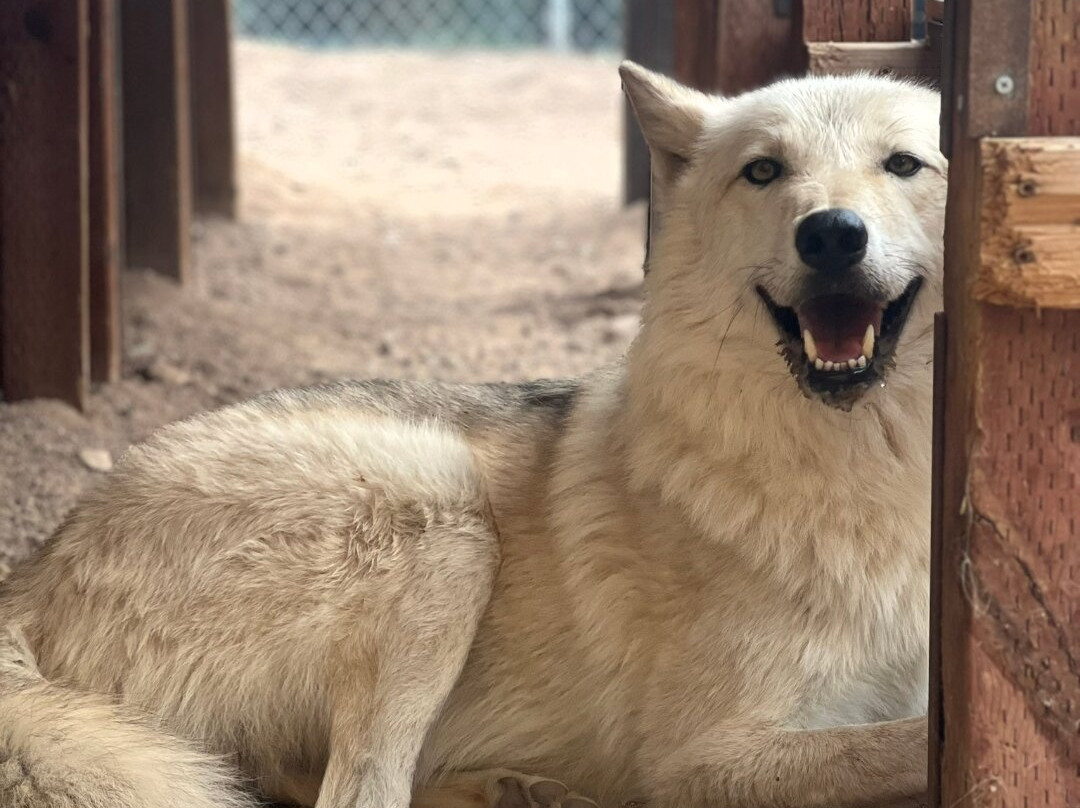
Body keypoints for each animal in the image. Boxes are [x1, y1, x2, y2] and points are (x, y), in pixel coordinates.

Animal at [0, 62, 944, 808]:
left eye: (905, 164)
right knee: (359, 795)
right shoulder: (700, 760)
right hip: (442, 512)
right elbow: (895, 743)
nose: (831, 233)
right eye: (764, 171)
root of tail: (33, 574)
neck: (857, 472)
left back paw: (520, 790)